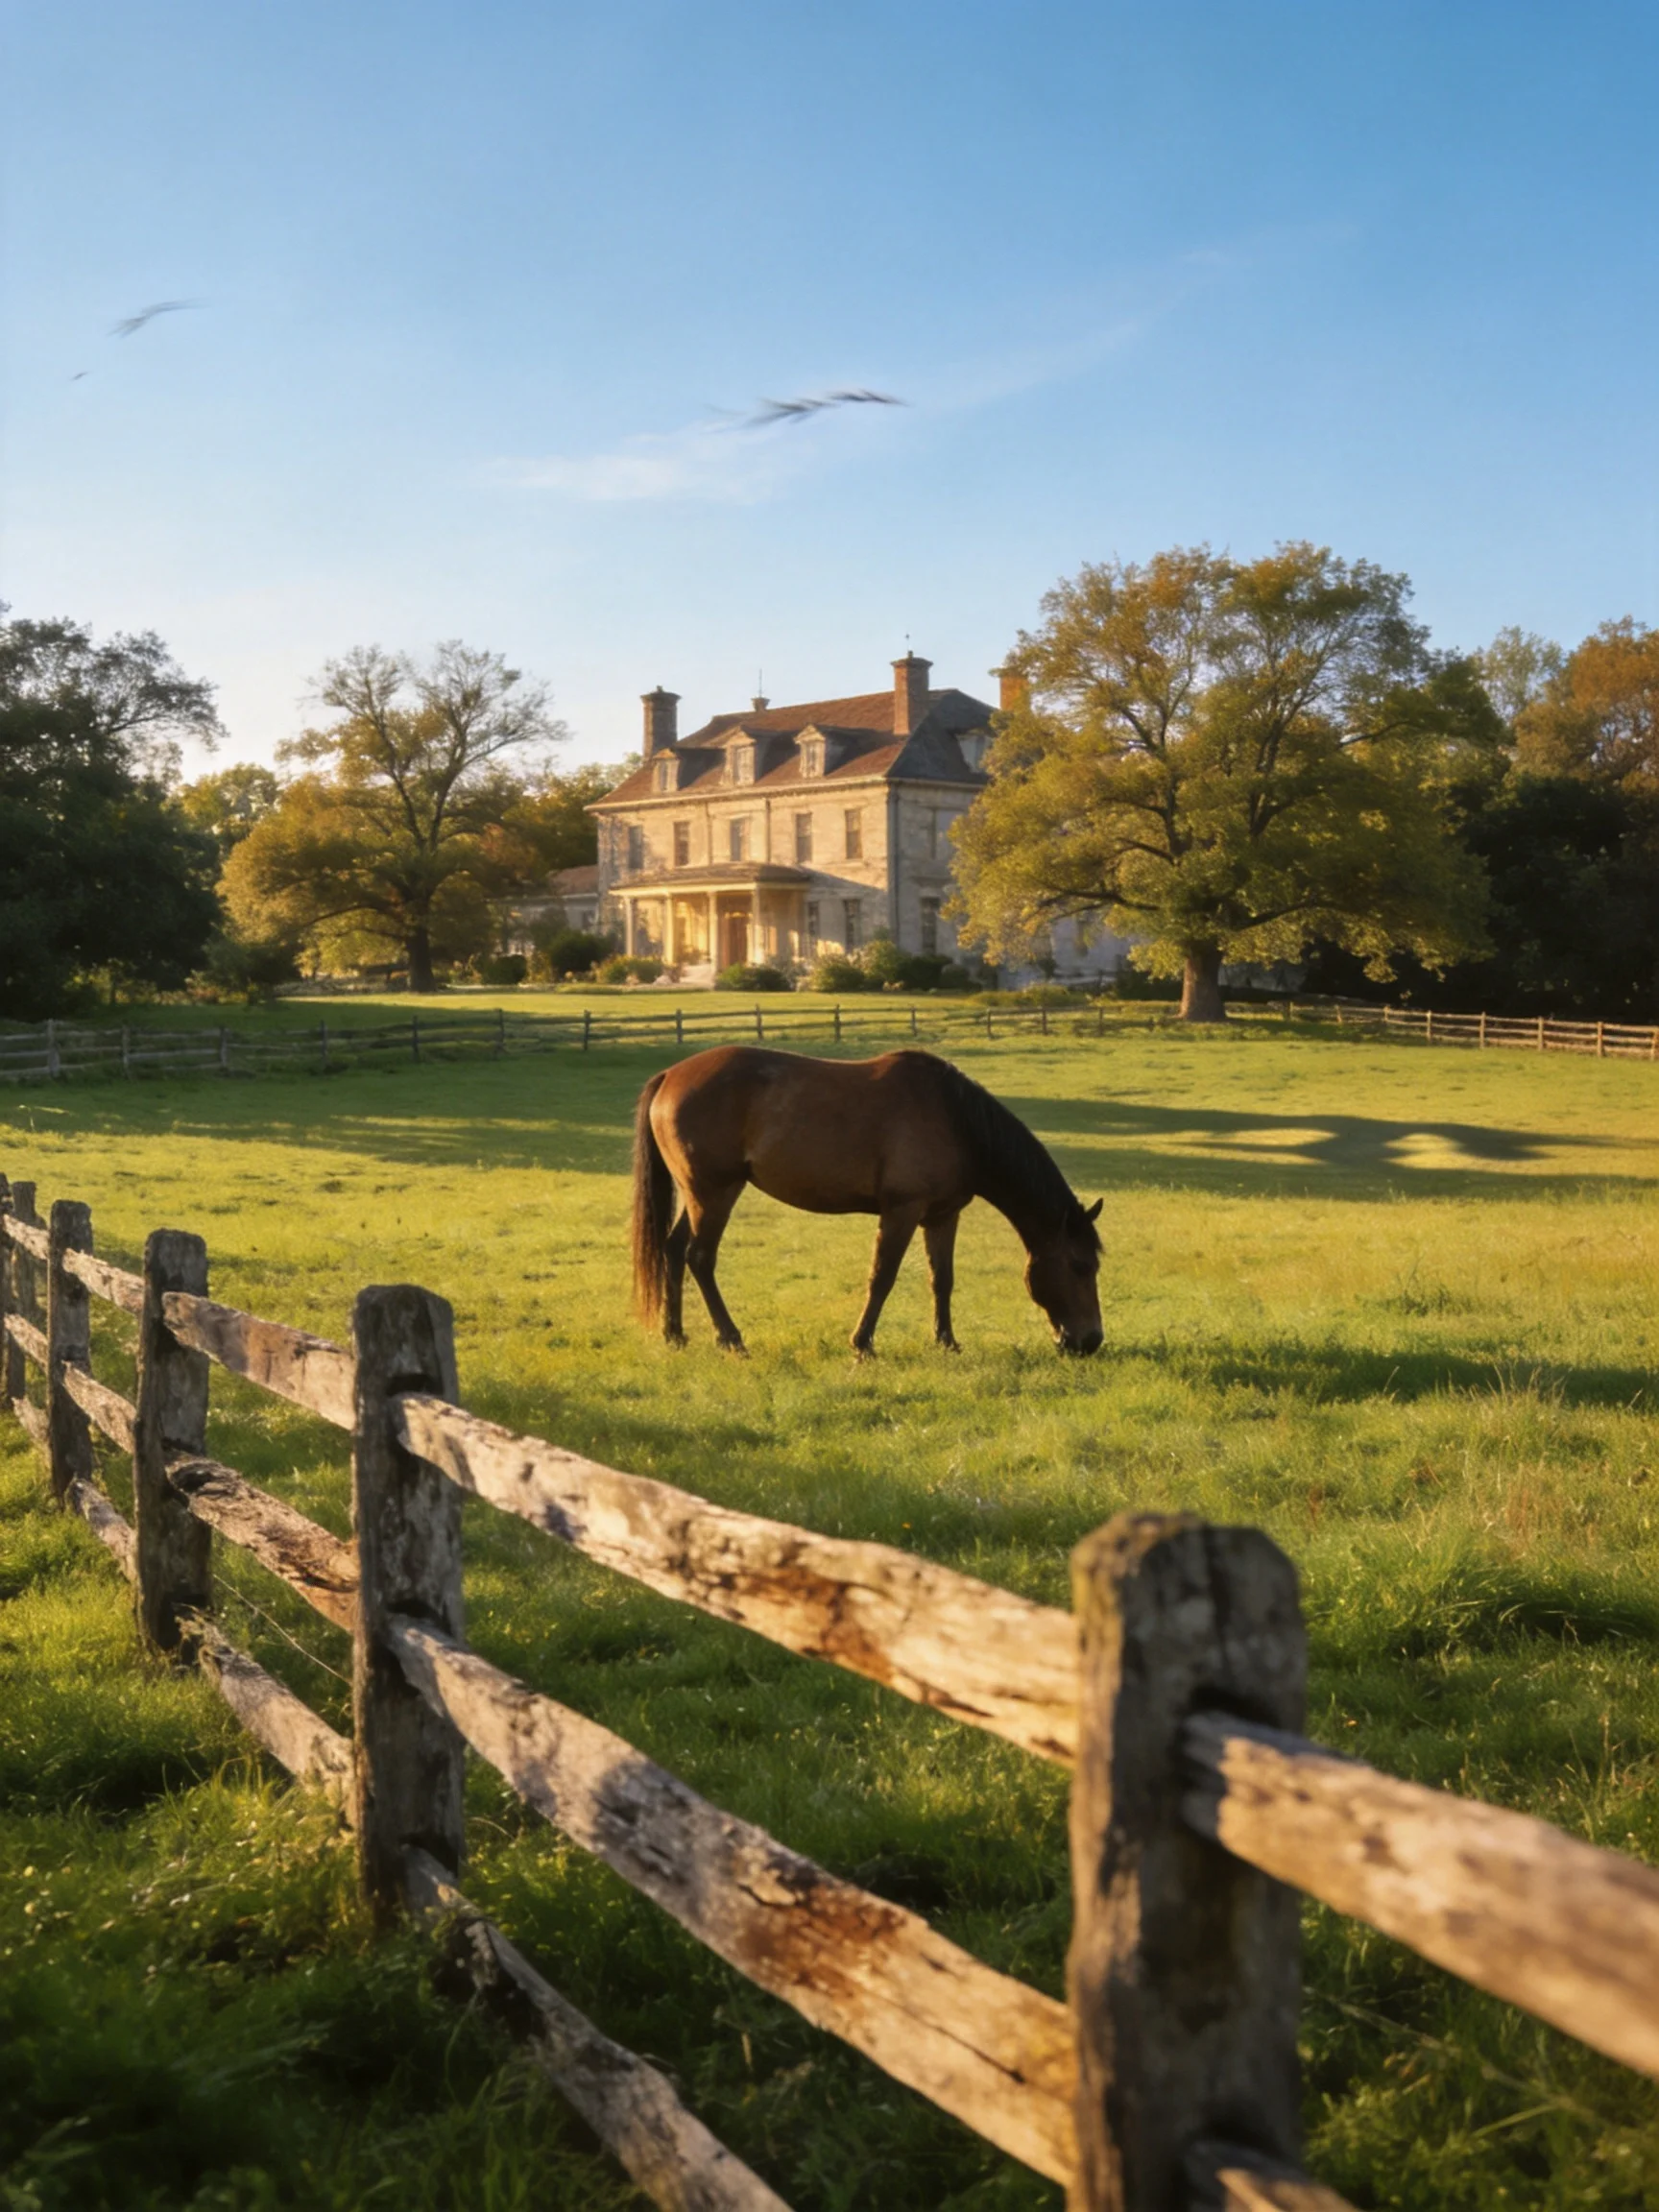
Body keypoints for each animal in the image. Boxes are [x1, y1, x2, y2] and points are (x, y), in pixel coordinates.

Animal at [631, 1046, 1103, 1357]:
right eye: (1081, 1266)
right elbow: (883, 1277)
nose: (1091, 1341)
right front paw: (863, 1344)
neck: (956, 1121)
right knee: (699, 1258)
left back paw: (675, 1334)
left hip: (700, 1195)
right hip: (714, 1193)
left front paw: (946, 1341)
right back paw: (730, 1338)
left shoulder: (942, 1216)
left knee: (673, 1250)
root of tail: (670, 1076)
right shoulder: (902, 1211)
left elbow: (942, 1280)